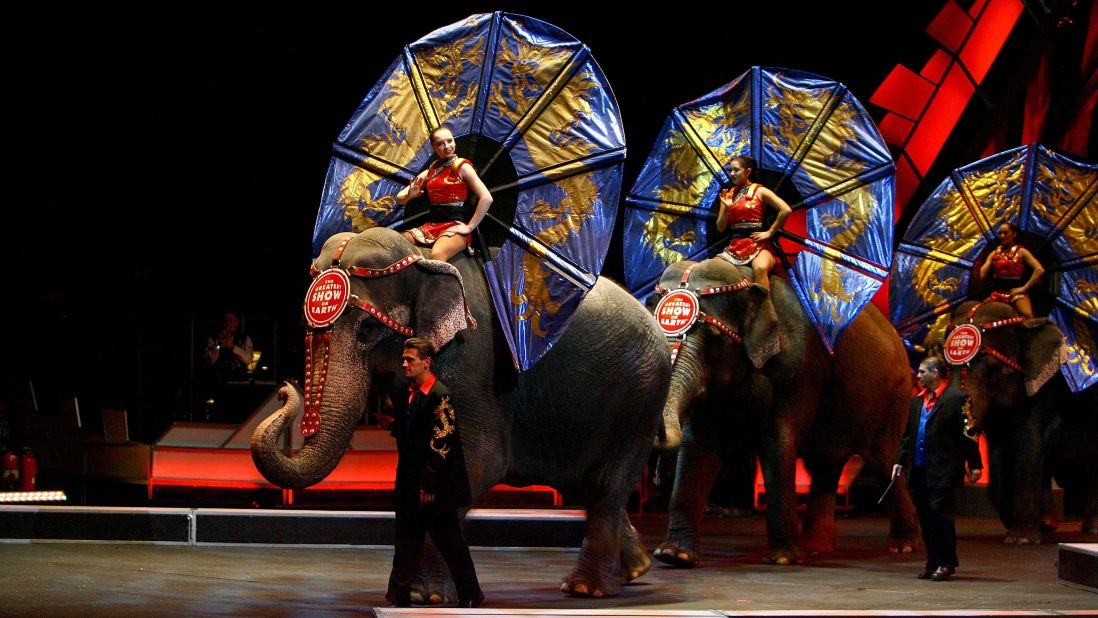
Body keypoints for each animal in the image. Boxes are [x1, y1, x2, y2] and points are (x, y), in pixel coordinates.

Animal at [252, 228, 671, 601]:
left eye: (369, 328)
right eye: (306, 326)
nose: (284, 388)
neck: (421, 257)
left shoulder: (470, 356)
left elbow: (476, 460)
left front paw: (427, 596)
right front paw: (417, 591)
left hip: (640, 398)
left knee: (607, 485)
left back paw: (587, 589)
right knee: (584, 484)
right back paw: (634, 571)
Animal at [645, 259, 922, 566]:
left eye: (714, 338)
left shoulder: (799, 369)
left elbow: (778, 442)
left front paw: (782, 559)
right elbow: (697, 448)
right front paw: (673, 555)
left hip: (895, 398)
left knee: (884, 463)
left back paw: (903, 547)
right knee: (826, 464)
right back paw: (816, 548)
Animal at [939, 300, 1093, 542]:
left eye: (992, 368)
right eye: (945, 367)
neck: (1025, 324)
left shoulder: (1044, 393)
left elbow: (1028, 447)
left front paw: (1021, 538)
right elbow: (997, 456)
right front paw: (1013, 525)